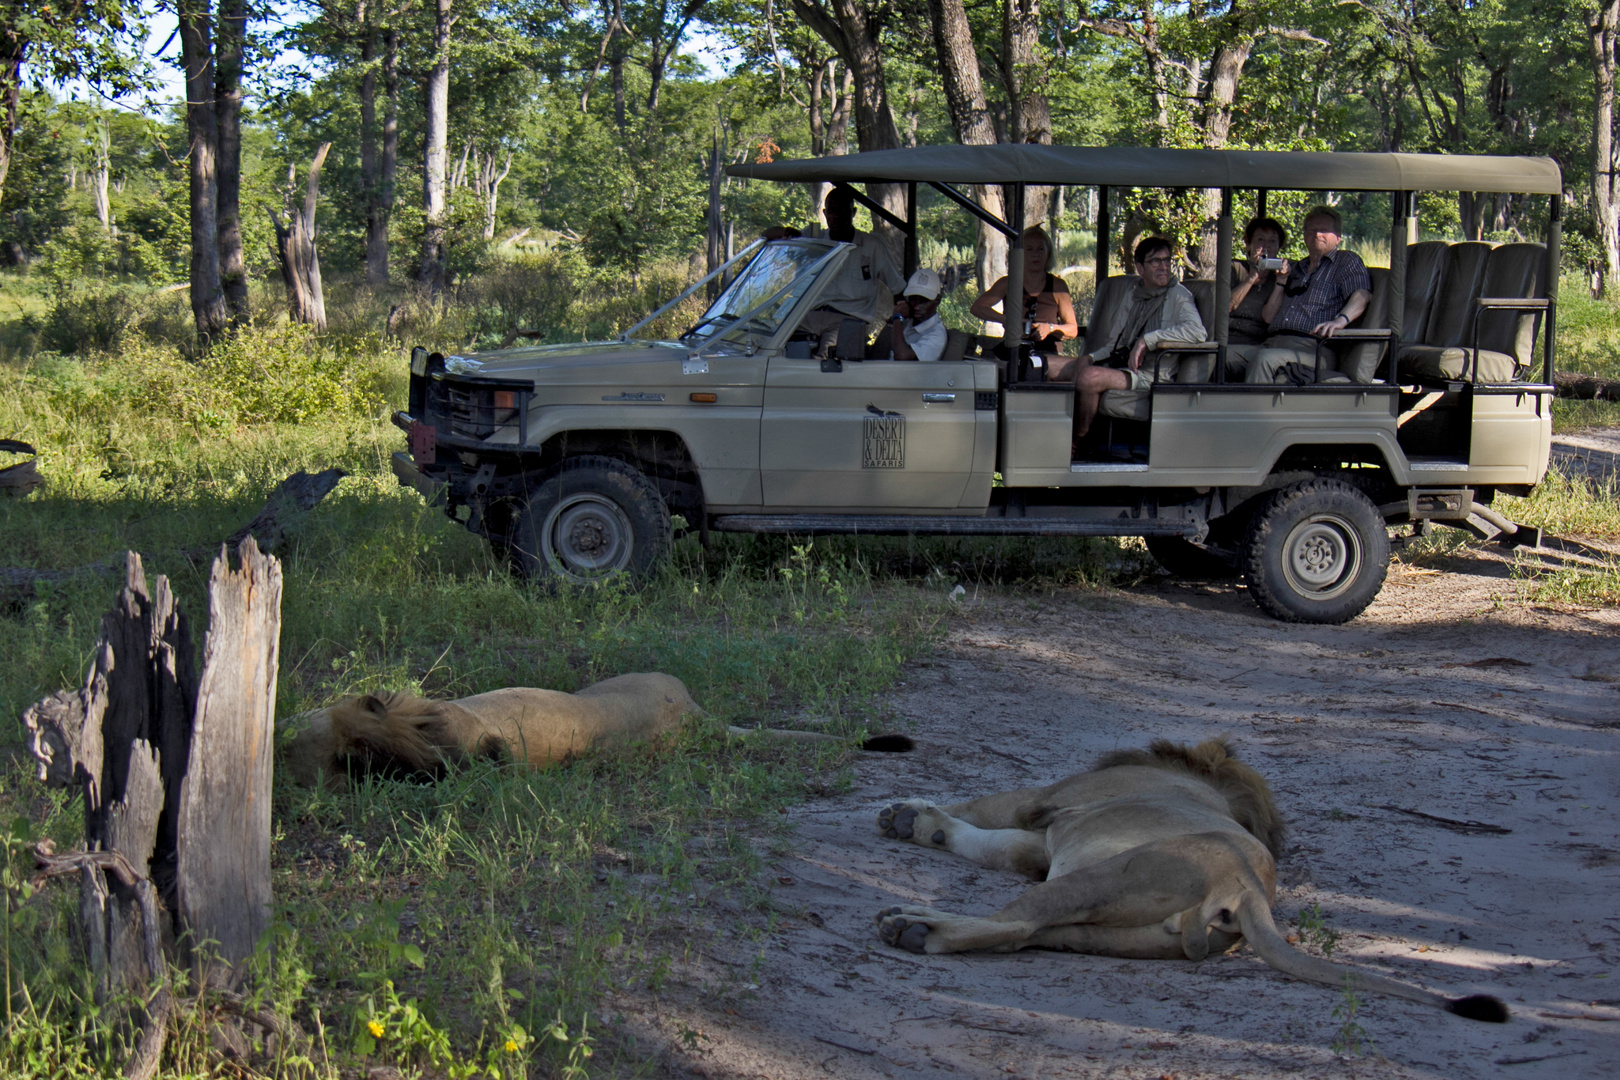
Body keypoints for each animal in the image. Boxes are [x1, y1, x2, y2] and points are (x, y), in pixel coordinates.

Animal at [874, 735, 1503, 1023]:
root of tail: (1248, 891)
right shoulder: (1041, 843)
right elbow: (988, 842)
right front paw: (919, 824)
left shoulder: (1044, 802)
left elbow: (981, 806)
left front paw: (905, 813)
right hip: (1104, 929)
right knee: (1031, 934)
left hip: (1098, 876)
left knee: (1014, 924)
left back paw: (913, 925)